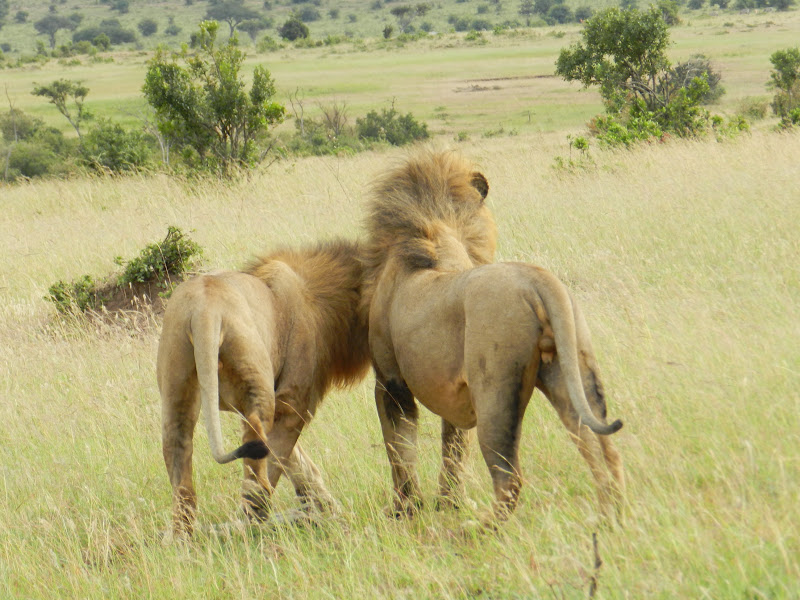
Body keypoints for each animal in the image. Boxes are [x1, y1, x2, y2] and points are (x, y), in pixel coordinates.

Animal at [159, 239, 372, 540]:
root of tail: (204, 310)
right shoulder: (293, 400)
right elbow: (284, 457)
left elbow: (297, 460)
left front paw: (325, 506)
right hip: (255, 380)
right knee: (255, 461)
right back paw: (254, 521)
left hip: (177, 383)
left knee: (178, 455)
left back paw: (182, 537)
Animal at [360, 151, 624, 528]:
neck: (436, 231)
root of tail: (536, 279)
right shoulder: (454, 389)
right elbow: (453, 447)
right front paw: (448, 503)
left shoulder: (390, 382)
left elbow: (399, 448)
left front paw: (406, 509)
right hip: (573, 371)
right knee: (604, 451)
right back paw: (609, 518)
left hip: (495, 391)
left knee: (510, 478)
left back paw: (477, 528)